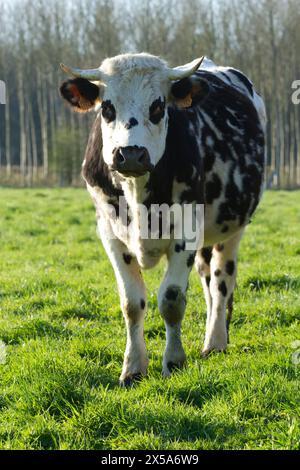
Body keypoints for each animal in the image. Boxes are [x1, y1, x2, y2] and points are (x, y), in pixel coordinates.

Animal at [59, 53, 266, 388]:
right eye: (107, 108)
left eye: (158, 106)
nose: (130, 154)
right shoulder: (110, 233)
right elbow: (132, 303)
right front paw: (133, 368)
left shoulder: (186, 231)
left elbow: (171, 300)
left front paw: (174, 362)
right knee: (207, 279)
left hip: (232, 226)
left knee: (221, 279)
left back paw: (215, 341)